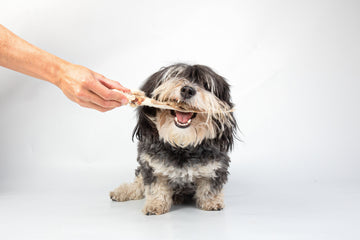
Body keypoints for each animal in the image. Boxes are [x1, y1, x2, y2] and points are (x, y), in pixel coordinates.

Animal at [111, 62, 238, 215]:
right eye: (175, 75)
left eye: (205, 84)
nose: (187, 90)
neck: (182, 144)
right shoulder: (151, 165)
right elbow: (155, 187)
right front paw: (155, 204)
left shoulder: (215, 166)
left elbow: (210, 186)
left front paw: (211, 202)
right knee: (139, 182)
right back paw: (123, 191)